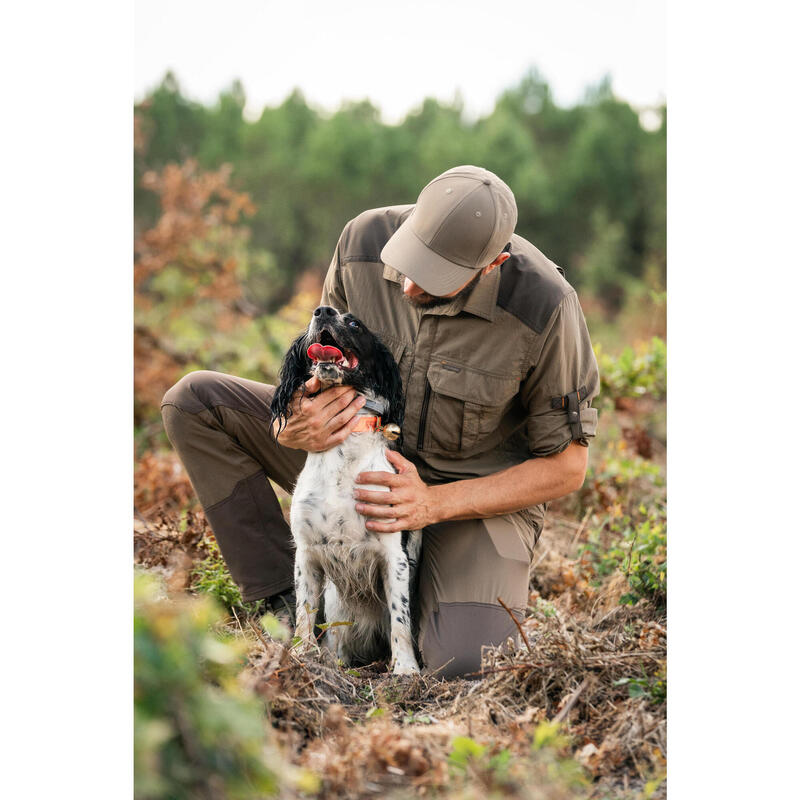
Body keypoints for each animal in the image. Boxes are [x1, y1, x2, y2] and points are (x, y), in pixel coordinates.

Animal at [272, 306, 422, 676]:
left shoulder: (394, 555)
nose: (322, 311)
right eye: (315, 315)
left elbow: (400, 620)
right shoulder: (307, 553)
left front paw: (405, 670)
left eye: (354, 323)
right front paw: (301, 655)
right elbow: (305, 612)